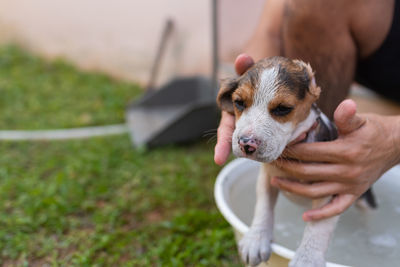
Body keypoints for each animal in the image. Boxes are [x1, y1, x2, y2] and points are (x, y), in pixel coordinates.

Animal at [217, 57, 340, 267]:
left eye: (283, 109)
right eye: (239, 103)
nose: (246, 144)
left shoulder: (330, 186)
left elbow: (319, 225)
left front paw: (307, 258)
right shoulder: (267, 177)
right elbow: (263, 206)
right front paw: (256, 239)